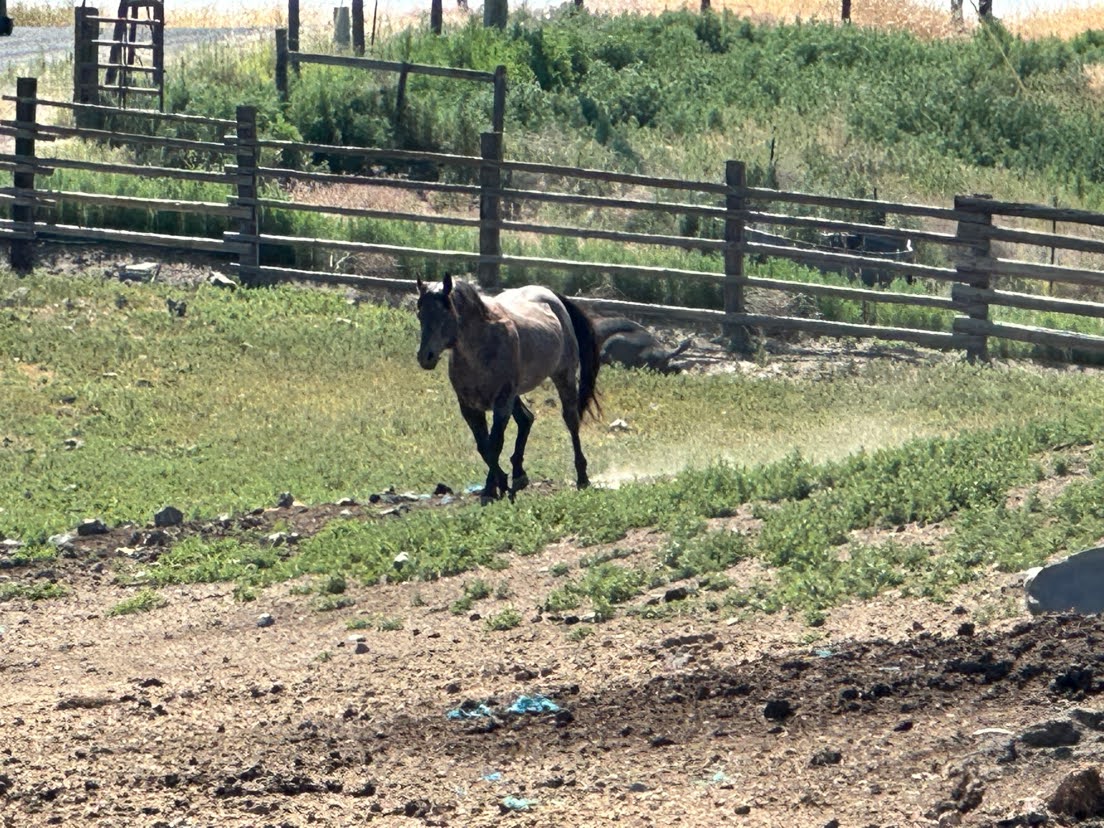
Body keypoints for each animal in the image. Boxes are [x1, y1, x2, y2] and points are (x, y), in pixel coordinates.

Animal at [416, 274, 601, 502]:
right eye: (420, 314)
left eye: (444, 313)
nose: (425, 357)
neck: (482, 348)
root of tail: (552, 296)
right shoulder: (469, 407)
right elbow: (484, 446)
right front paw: (502, 483)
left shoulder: (501, 403)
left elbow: (494, 444)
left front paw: (492, 488)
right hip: (515, 394)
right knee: (526, 419)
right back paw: (519, 475)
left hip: (562, 377)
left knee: (571, 421)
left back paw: (582, 478)